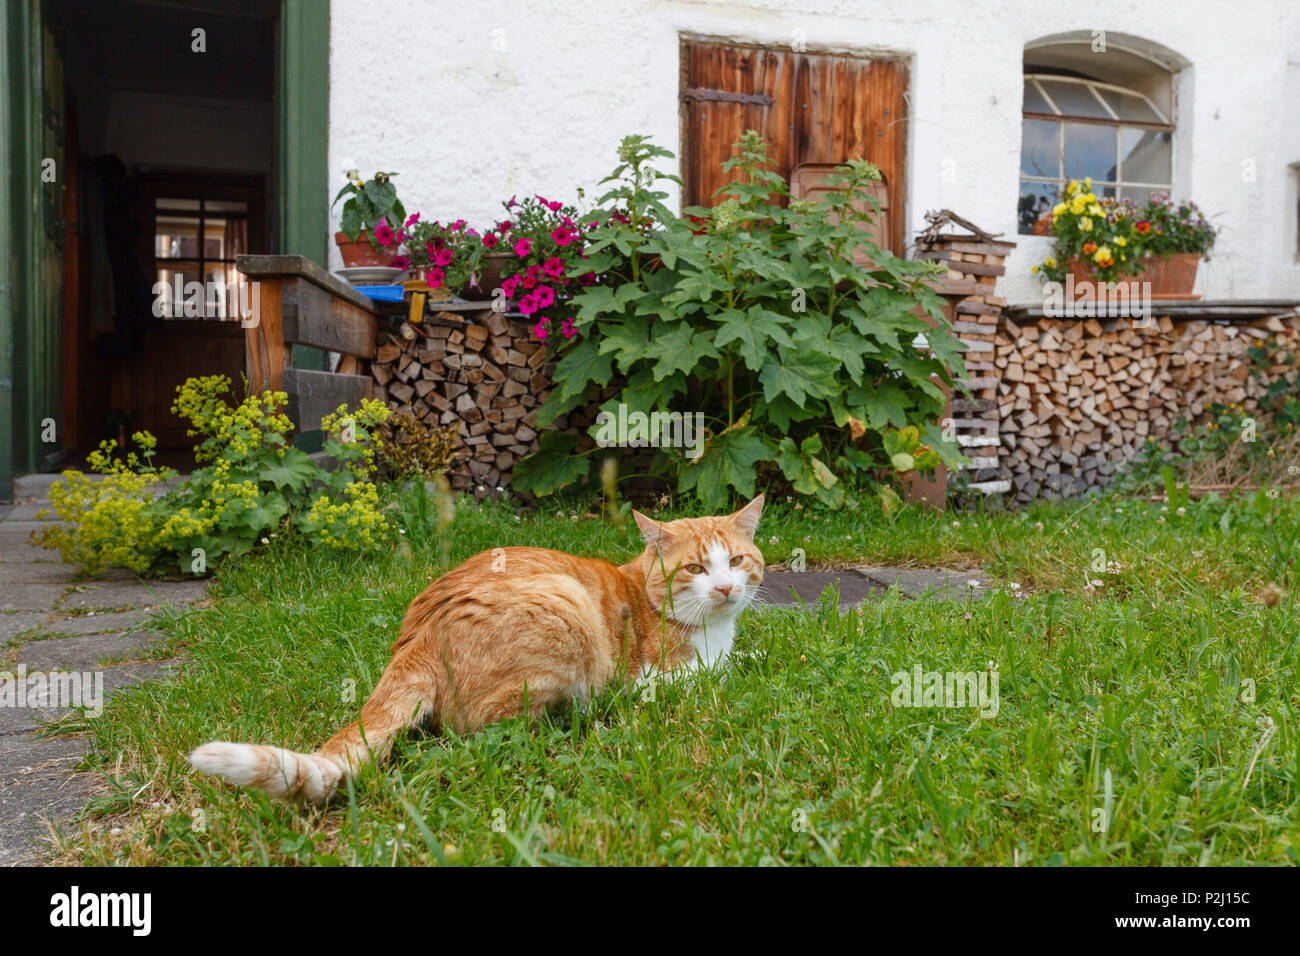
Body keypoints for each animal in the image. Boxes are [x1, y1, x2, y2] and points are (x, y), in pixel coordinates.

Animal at [189, 494, 759, 801]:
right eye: (695, 568)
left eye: (736, 561)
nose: (725, 589)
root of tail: (418, 635)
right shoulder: (657, 677)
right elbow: (715, 675)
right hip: (566, 608)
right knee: (491, 726)